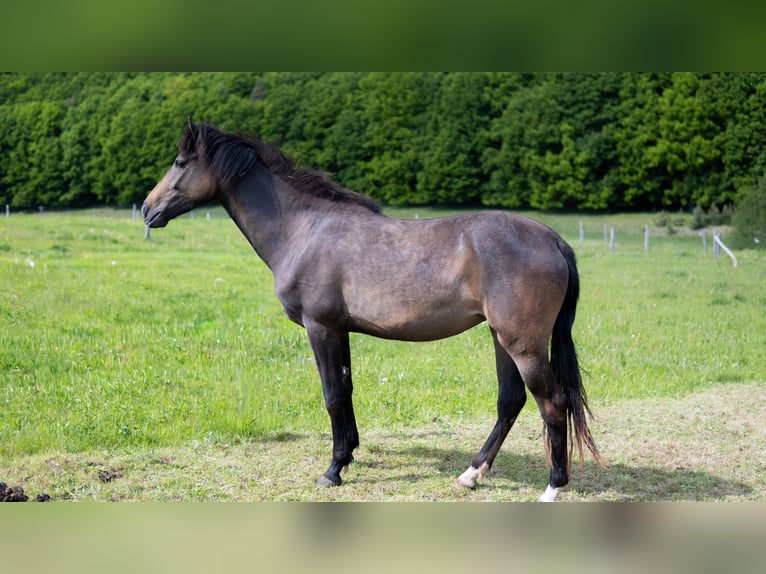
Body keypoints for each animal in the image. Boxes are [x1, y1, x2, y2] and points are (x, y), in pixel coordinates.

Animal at [143, 119, 603, 501]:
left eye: (180, 162)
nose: (148, 209)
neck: (304, 229)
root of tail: (554, 240)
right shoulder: (340, 329)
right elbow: (345, 391)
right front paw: (347, 455)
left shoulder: (320, 327)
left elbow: (331, 395)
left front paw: (331, 470)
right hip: (500, 337)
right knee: (510, 402)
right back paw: (471, 475)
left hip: (522, 344)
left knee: (552, 403)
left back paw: (552, 487)